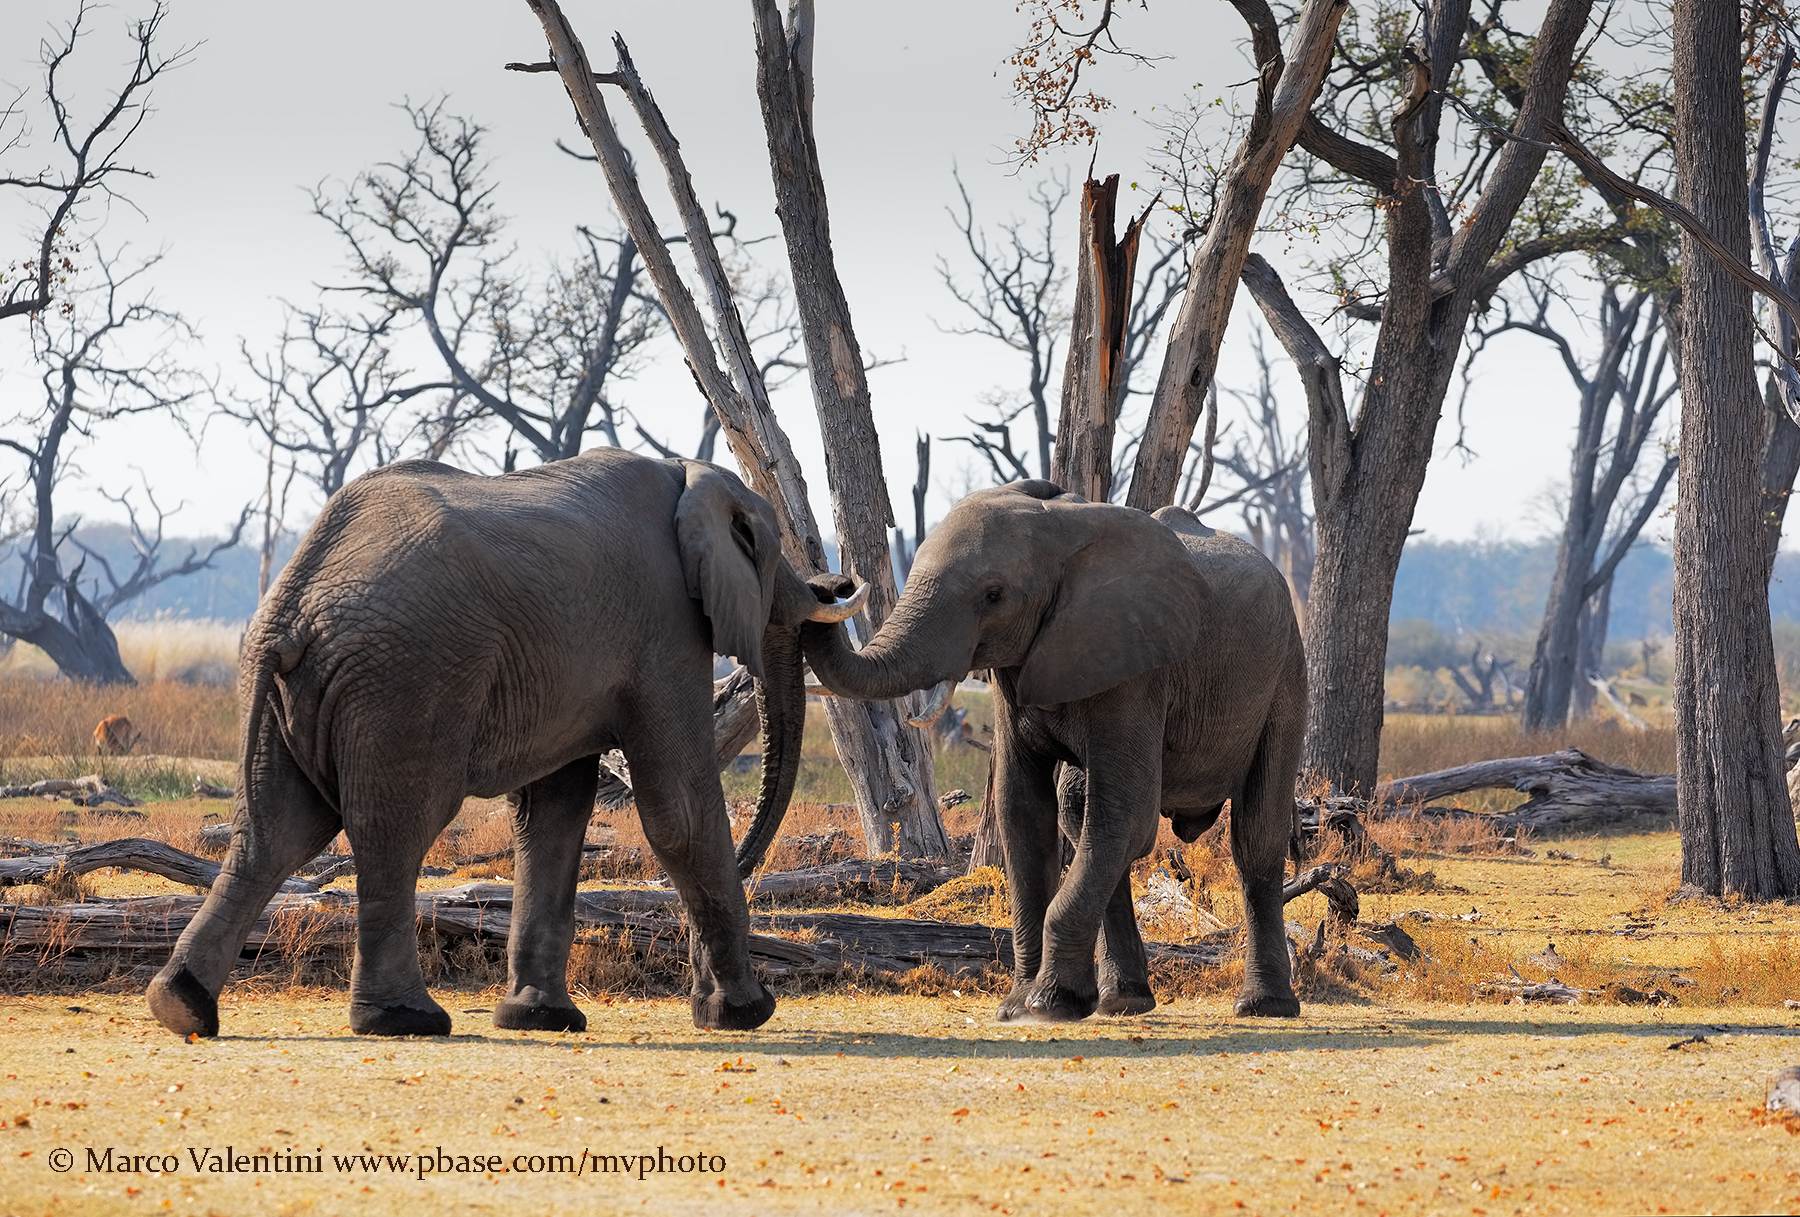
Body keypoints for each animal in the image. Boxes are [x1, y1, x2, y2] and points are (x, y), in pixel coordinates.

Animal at [147, 451, 864, 1044]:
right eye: (770, 556)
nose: (837, 585)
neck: (688, 473)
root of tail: (294, 599)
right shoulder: (663, 625)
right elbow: (678, 810)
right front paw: (744, 1014)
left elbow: (553, 813)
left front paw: (540, 1019)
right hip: (408, 682)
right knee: (394, 831)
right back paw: (406, 1020)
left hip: (283, 690)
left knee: (273, 833)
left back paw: (181, 1006)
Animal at [806, 478, 1310, 1022]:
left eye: (993, 595)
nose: (832, 582)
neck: (1060, 532)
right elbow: (1023, 810)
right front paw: (1017, 1006)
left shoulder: (1136, 669)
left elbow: (1127, 815)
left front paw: (1047, 1004)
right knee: (1080, 812)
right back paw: (1122, 1002)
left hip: (1286, 672)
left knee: (1253, 838)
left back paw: (1264, 1007)